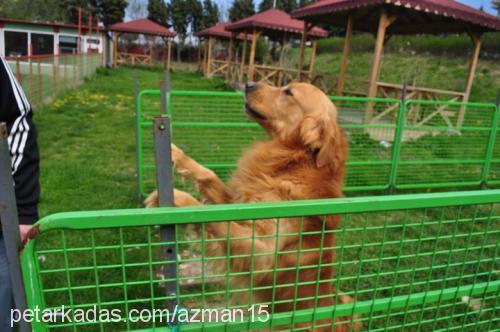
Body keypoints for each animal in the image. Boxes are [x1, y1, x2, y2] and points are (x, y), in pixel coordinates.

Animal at [146, 82, 358, 330]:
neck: (291, 161)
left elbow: (216, 219)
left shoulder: (263, 252)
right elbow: (209, 175)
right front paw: (176, 154)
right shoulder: (240, 204)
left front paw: (179, 200)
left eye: (288, 92)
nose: (248, 84)